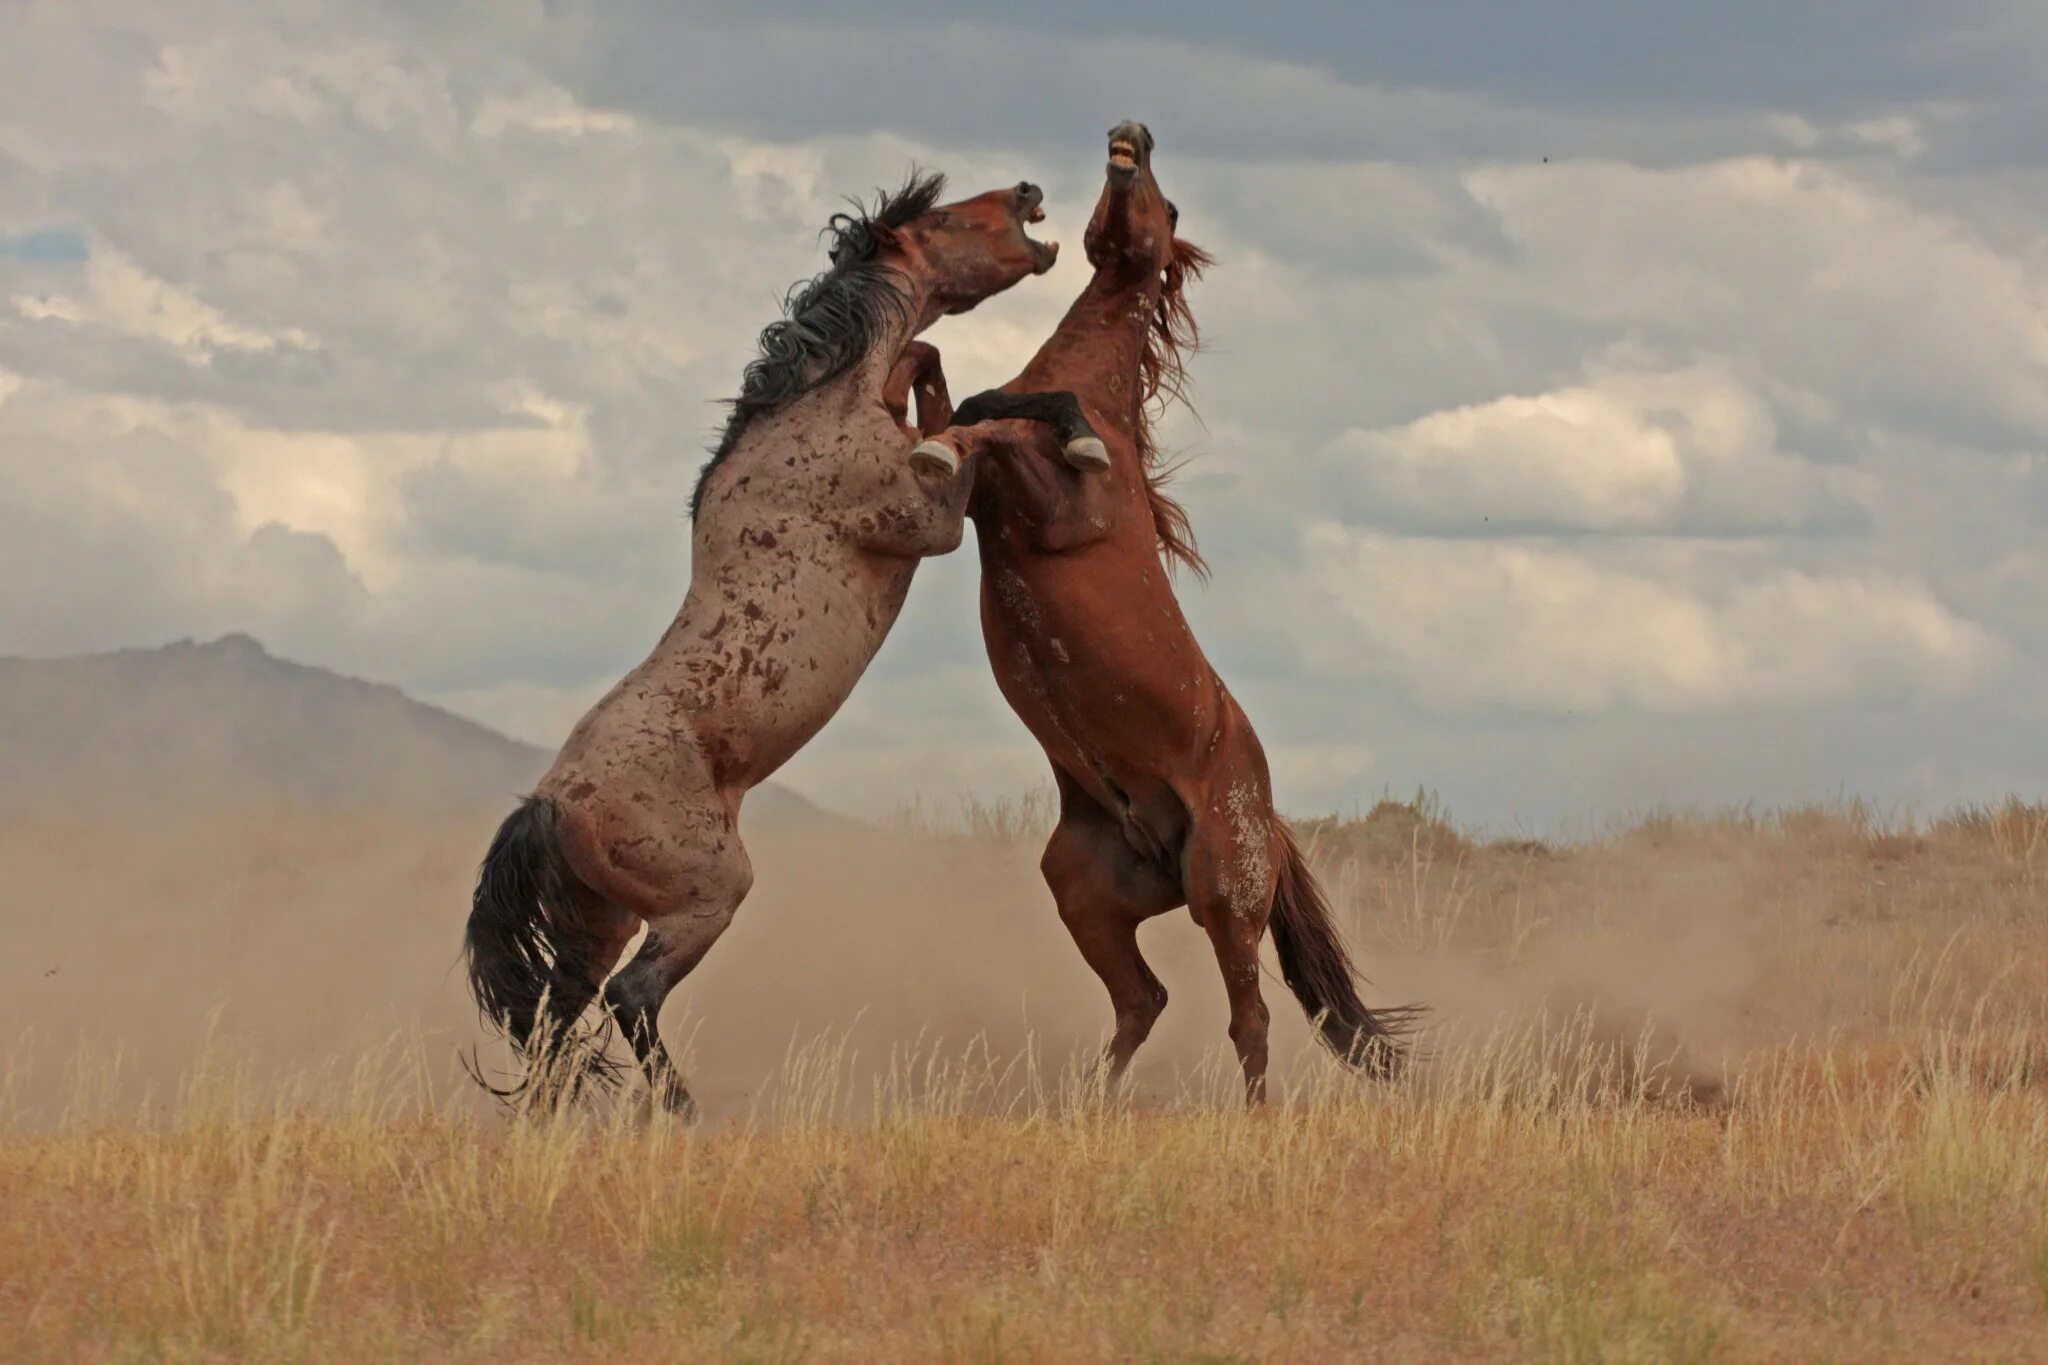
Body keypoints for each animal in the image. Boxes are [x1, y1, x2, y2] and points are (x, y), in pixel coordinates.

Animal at [466, 170, 1105, 1113]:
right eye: (947, 218)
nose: (1027, 192)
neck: (811, 421)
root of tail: (550, 803)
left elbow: (942, 379)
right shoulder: (929, 523)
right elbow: (966, 431)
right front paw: (1076, 436)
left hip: (598, 920)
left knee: (555, 1020)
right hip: (705, 896)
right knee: (631, 995)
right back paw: (683, 1114)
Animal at [905, 122, 1417, 1105]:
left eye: (1167, 205)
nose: (1131, 135)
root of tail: (1268, 822)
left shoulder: (1052, 513)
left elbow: (1010, 413)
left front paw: (1064, 435)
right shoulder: (985, 502)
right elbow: (962, 400)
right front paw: (932, 435)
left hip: (1225, 898)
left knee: (1247, 1020)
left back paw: (1252, 1121)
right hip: (1085, 893)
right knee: (1144, 999)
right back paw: (1092, 1108)